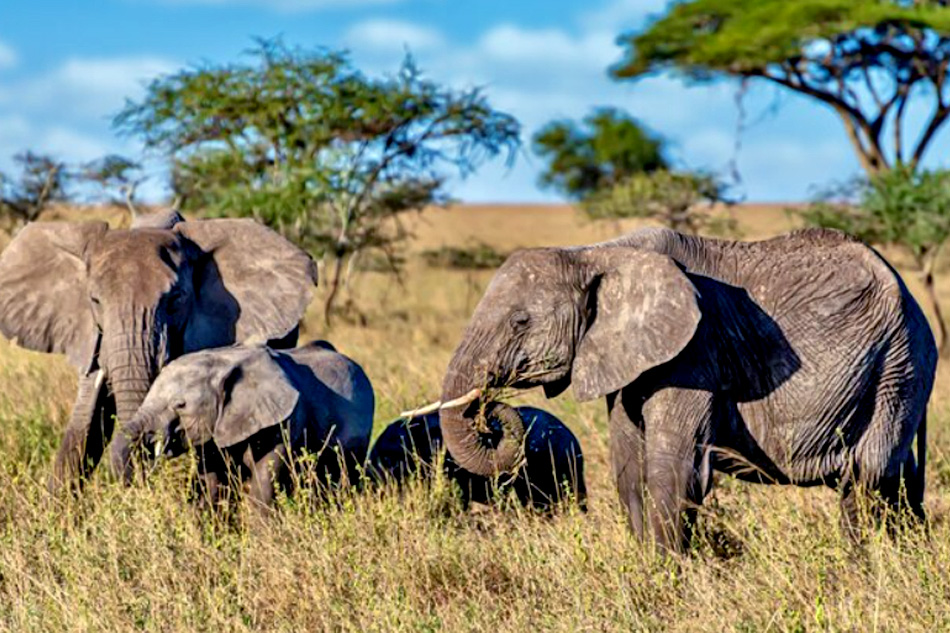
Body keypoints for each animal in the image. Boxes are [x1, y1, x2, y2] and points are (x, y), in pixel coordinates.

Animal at [433, 227, 936, 551]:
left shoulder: (696, 351)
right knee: (894, 480)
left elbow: (673, 470)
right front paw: (643, 568)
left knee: (867, 476)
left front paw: (665, 576)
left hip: (898, 364)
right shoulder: (628, 357)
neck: (597, 254)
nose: (493, 413)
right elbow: (628, 467)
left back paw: (861, 567)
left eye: (520, 322)